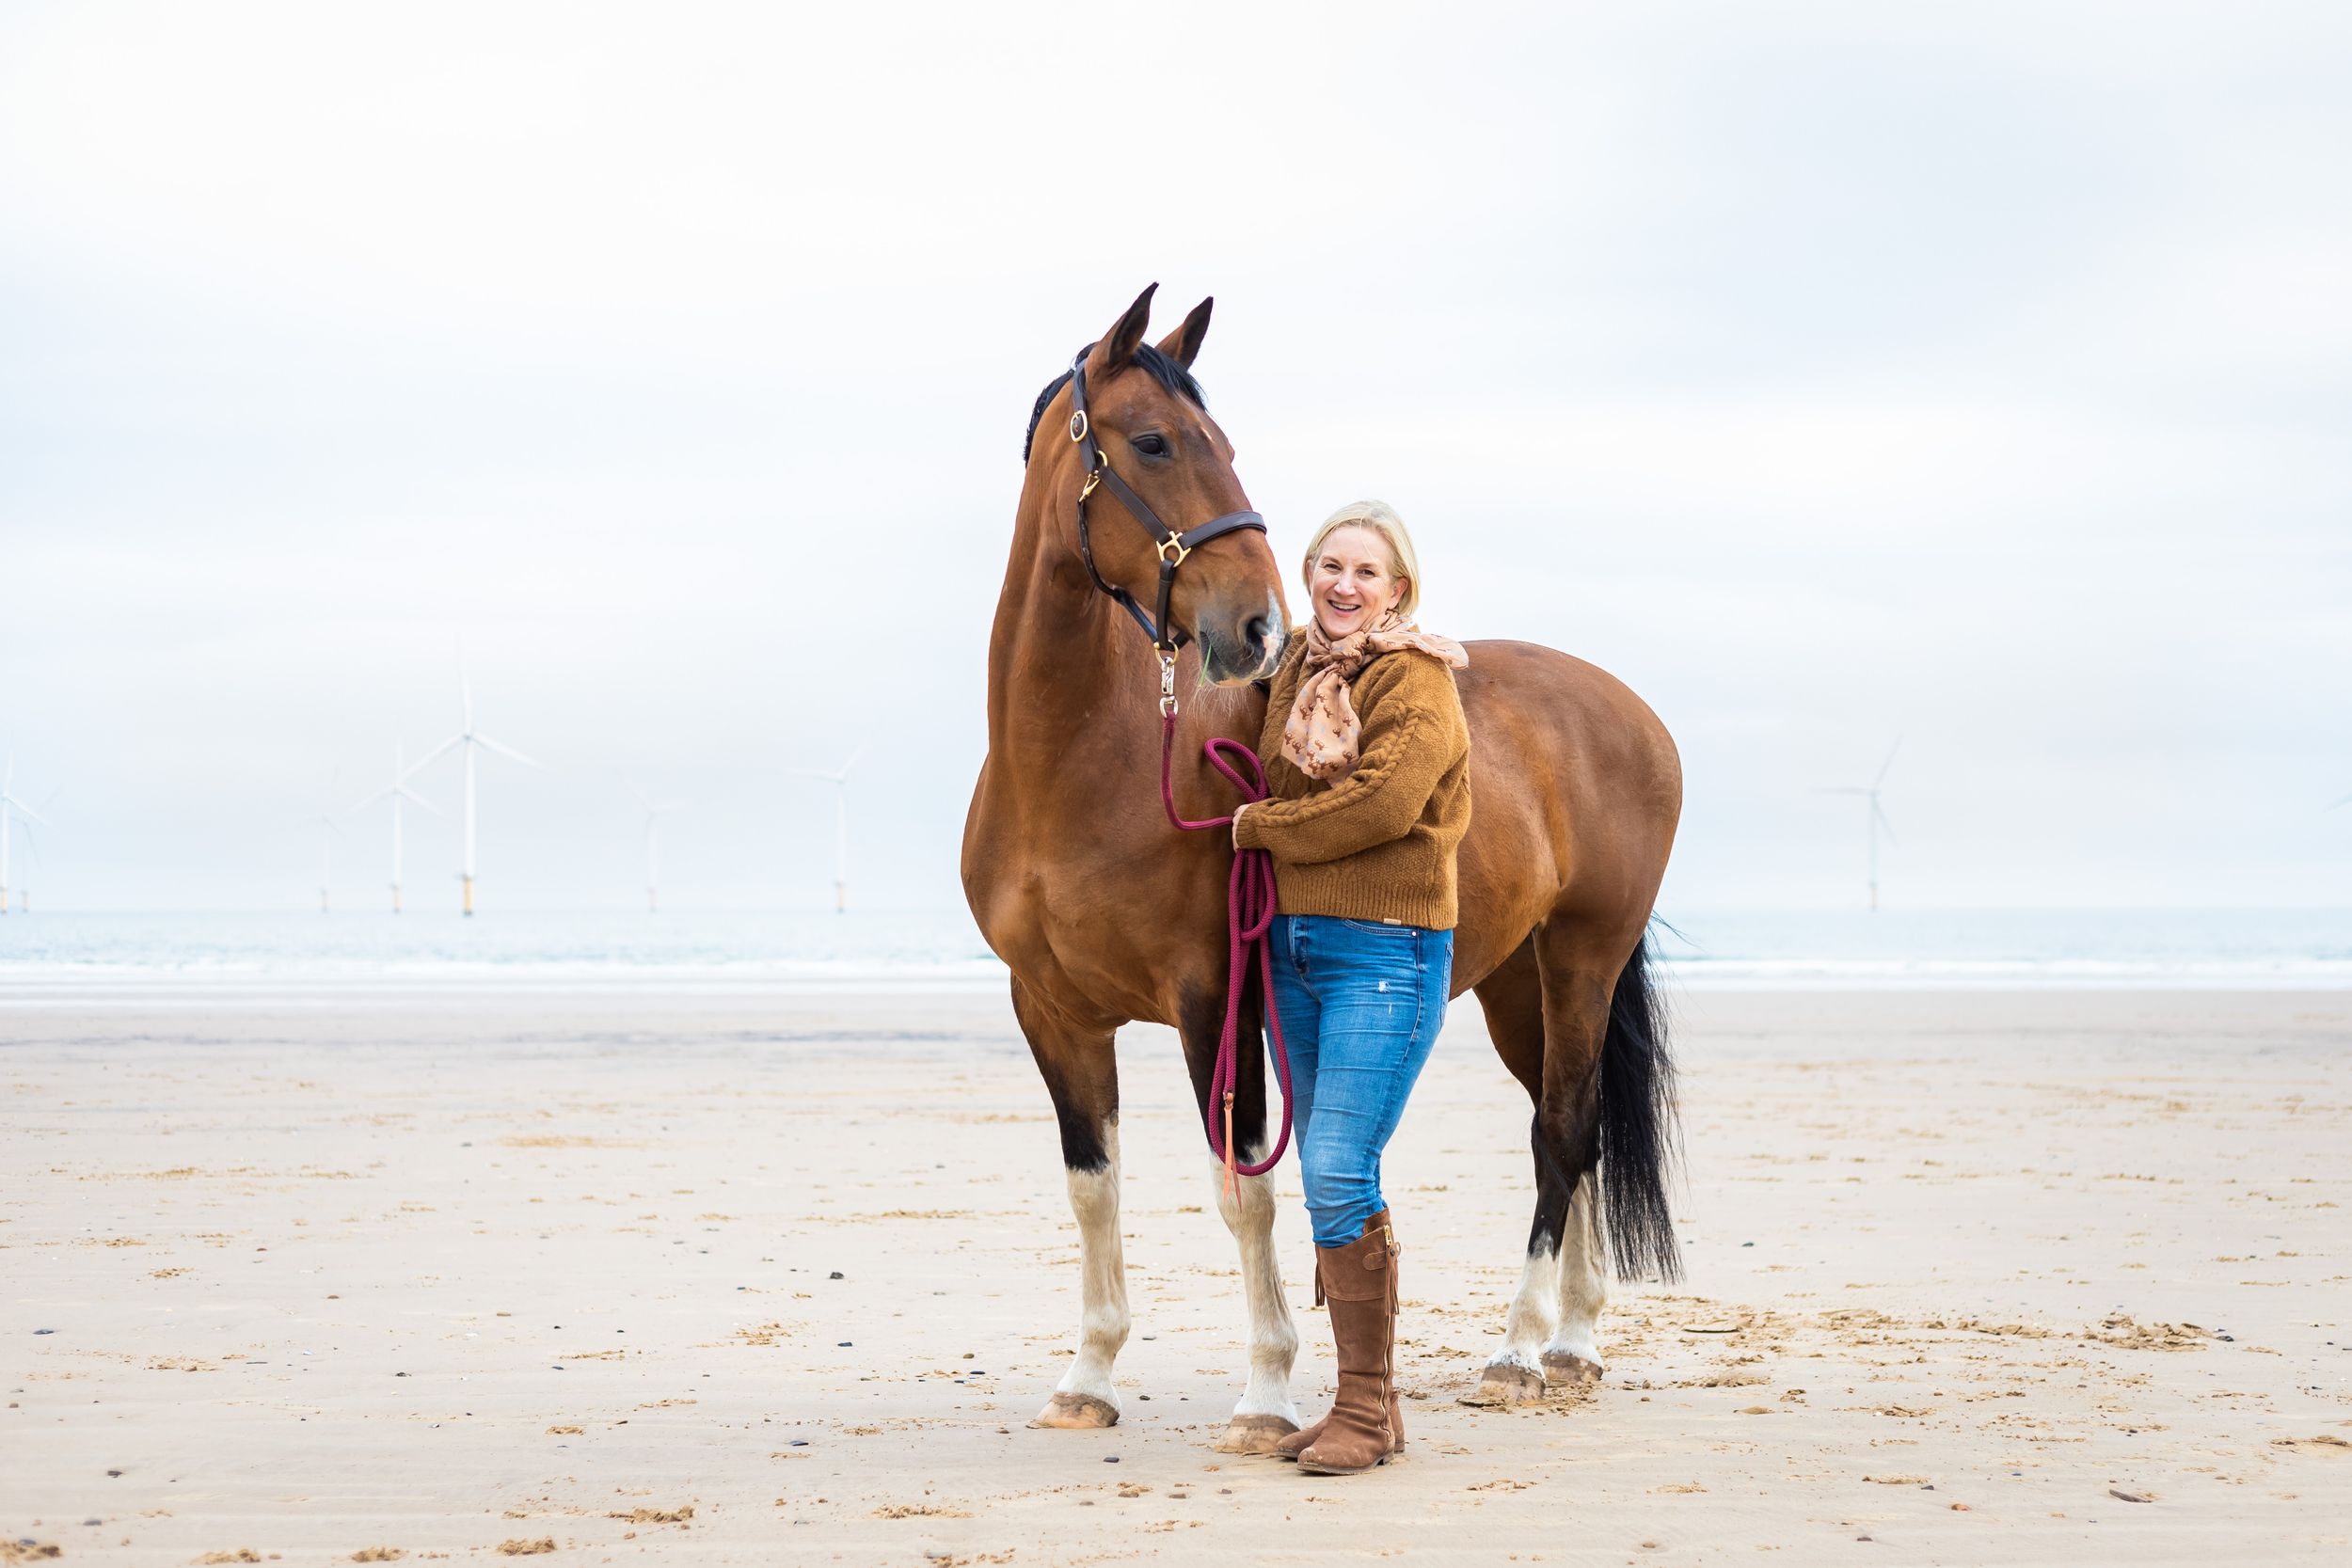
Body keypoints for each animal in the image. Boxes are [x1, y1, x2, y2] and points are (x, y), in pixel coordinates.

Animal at [961, 285, 1683, 1451]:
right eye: (1155, 441)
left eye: (1223, 442)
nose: (1257, 623)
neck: (1079, 764)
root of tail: (1627, 710)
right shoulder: (1052, 1010)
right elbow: (1093, 1189)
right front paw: (1088, 1376)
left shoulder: (1216, 1000)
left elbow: (1244, 1190)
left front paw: (1265, 1393)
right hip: (1515, 984)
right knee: (1574, 1130)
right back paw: (1573, 1344)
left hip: (1584, 960)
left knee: (1564, 1126)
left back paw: (1520, 1349)